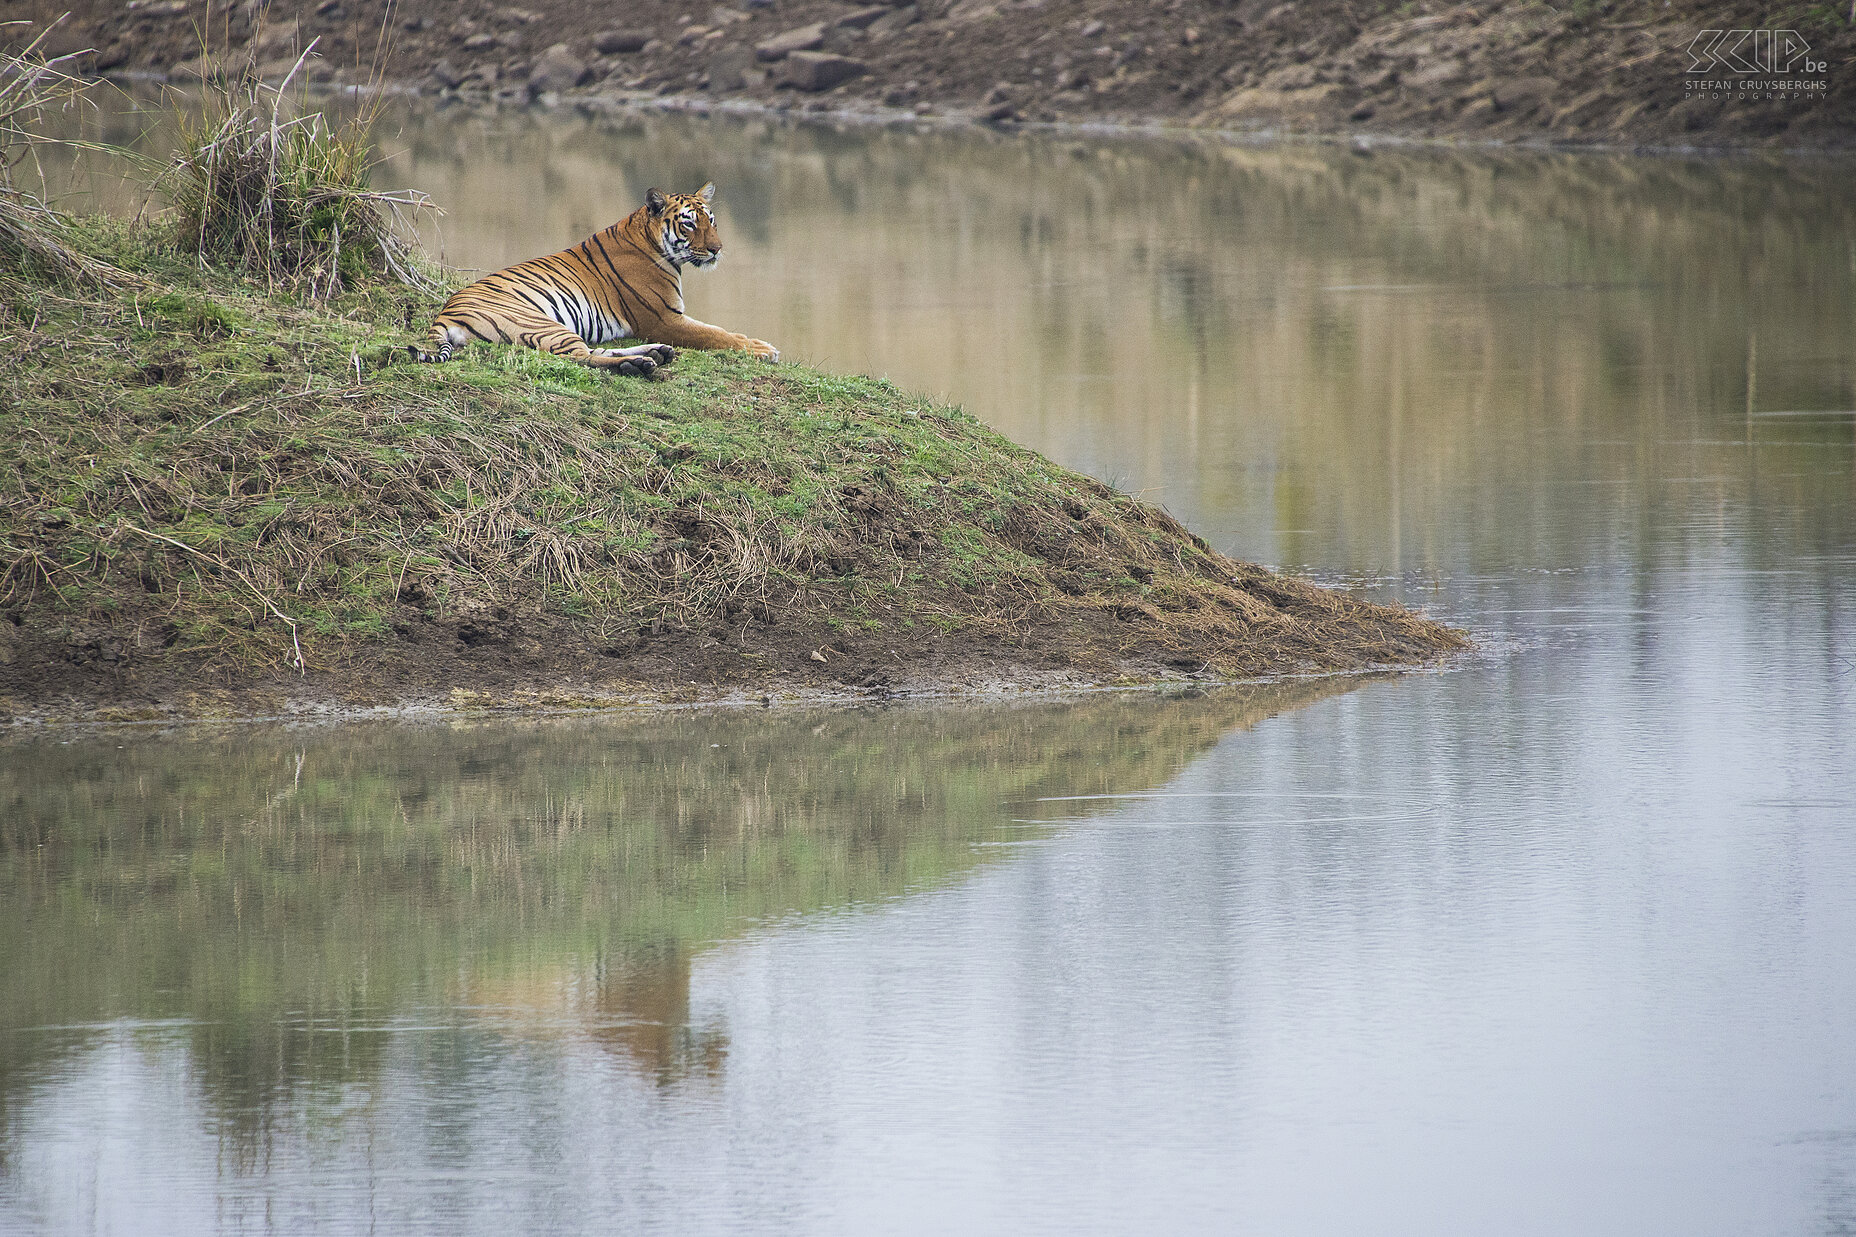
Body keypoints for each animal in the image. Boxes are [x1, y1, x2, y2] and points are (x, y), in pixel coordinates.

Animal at [410, 182, 779, 375]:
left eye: (711, 221)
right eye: (689, 224)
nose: (717, 250)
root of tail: (443, 315)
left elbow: (720, 331)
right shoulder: (664, 318)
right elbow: (717, 334)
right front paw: (764, 349)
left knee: (592, 350)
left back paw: (654, 354)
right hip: (539, 322)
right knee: (580, 356)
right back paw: (638, 364)